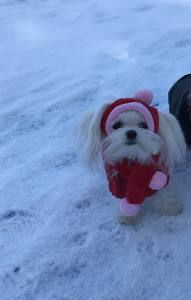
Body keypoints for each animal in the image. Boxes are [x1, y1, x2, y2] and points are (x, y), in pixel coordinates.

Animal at [78, 89, 186, 223]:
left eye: (143, 125)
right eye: (117, 125)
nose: (131, 132)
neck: (132, 157)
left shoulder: (160, 173)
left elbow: (164, 191)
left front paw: (169, 209)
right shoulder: (117, 182)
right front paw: (126, 217)